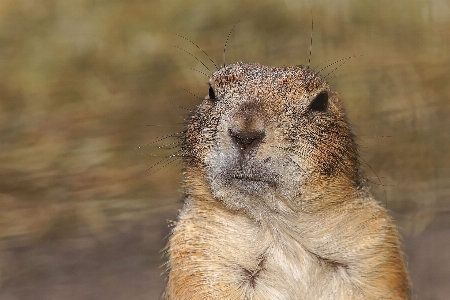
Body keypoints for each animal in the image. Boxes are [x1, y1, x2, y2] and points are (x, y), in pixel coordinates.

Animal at [164, 58, 412, 298]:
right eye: (211, 92)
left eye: (321, 101)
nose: (245, 134)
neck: (278, 230)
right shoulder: (198, 256)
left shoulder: (375, 247)